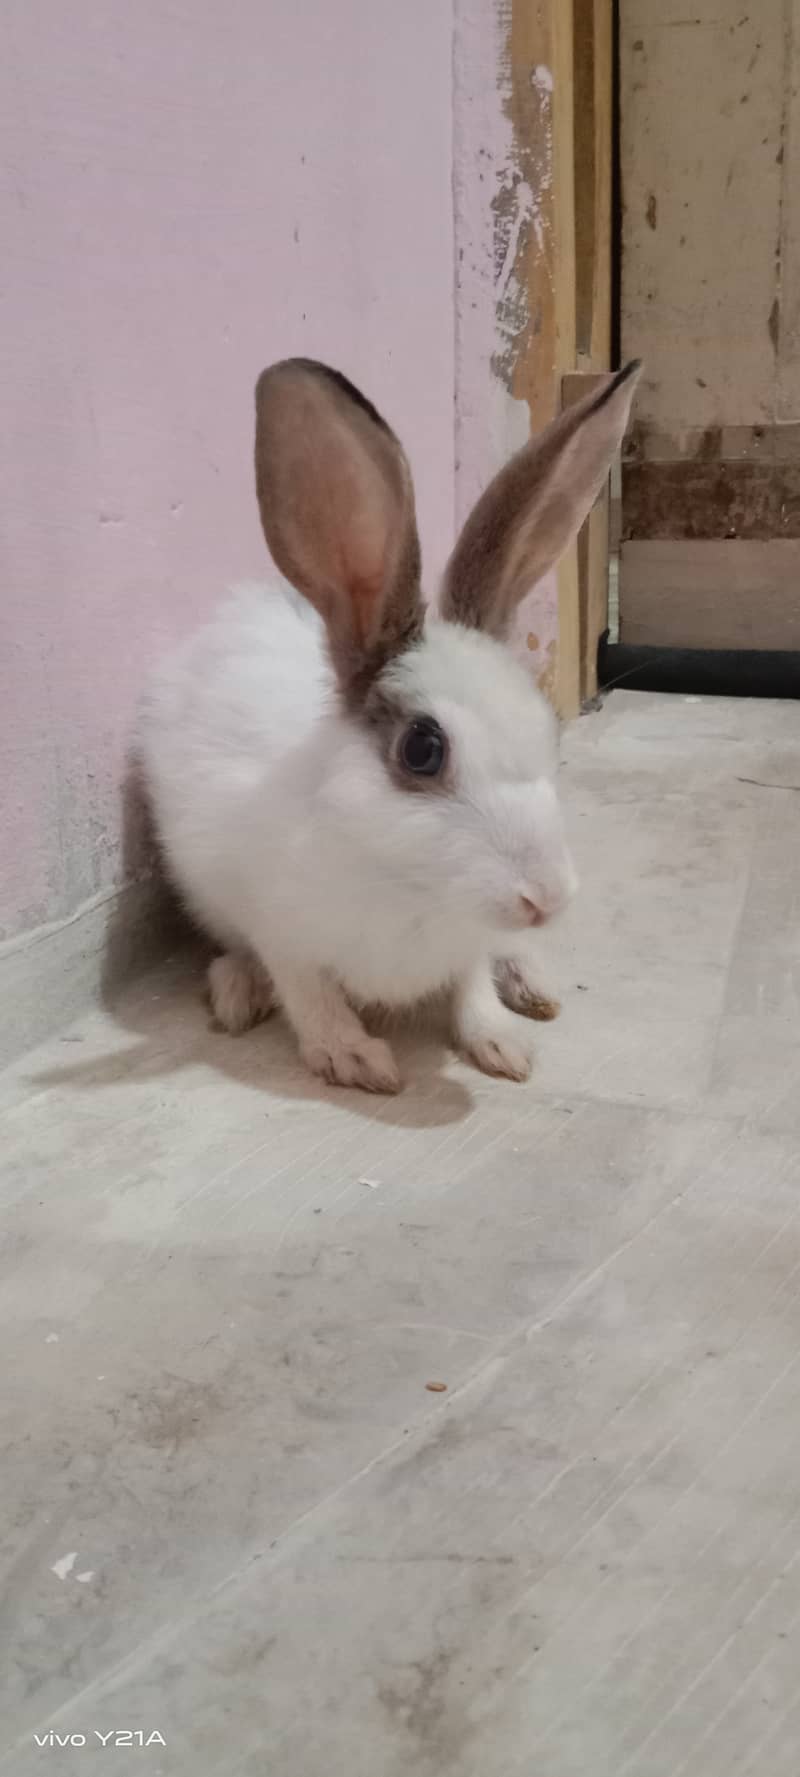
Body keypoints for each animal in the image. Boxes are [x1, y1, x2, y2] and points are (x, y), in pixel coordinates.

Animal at [140, 355, 640, 1093]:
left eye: (549, 729)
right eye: (422, 749)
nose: (546, 900)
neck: (414, 889)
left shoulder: (467, 943)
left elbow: (470, 984)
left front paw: (502, 1042)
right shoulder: (280, 928)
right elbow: (309, 993)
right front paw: (354, 1058)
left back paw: (530, 980)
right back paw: (237, 992)